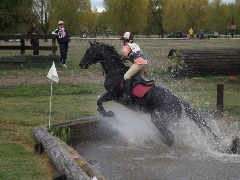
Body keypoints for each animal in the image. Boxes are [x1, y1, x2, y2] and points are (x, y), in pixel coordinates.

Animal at [79, 42, 218, 146]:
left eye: (88, 52)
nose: (81, 64)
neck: (114, 70)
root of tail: (178, 100)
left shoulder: (113, 95)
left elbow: (100, 99)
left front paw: (108, 113)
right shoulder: (111, 95)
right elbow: (99, 99)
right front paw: (104, 112)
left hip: (159, 119)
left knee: (170, 136)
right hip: (171, 120)